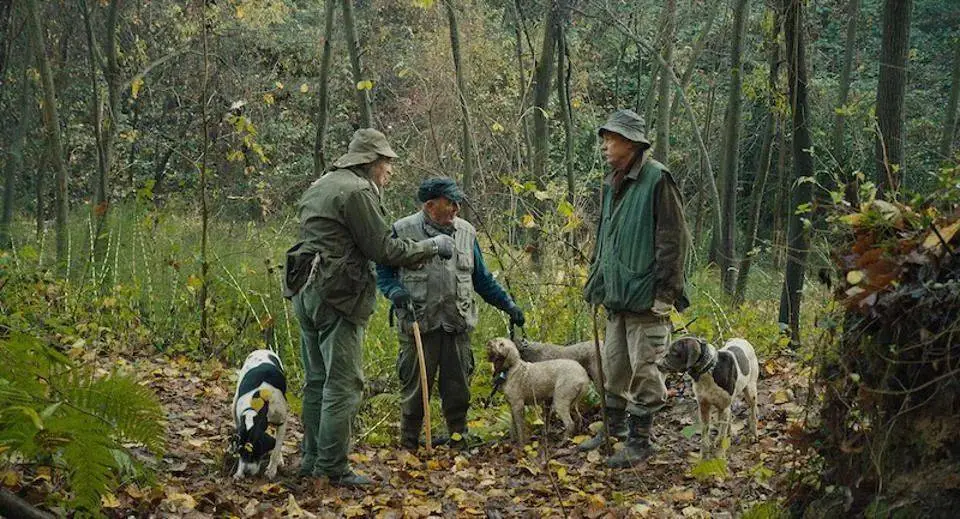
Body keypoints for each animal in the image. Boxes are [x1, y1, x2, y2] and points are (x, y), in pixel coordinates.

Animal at [232, 350, 288, 480]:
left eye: (254, 452)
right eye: (240, 451)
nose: (246, 472)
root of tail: (262, 350)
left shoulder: (282, 422)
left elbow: (276, 449)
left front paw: (272, 470)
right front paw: (239, 472)